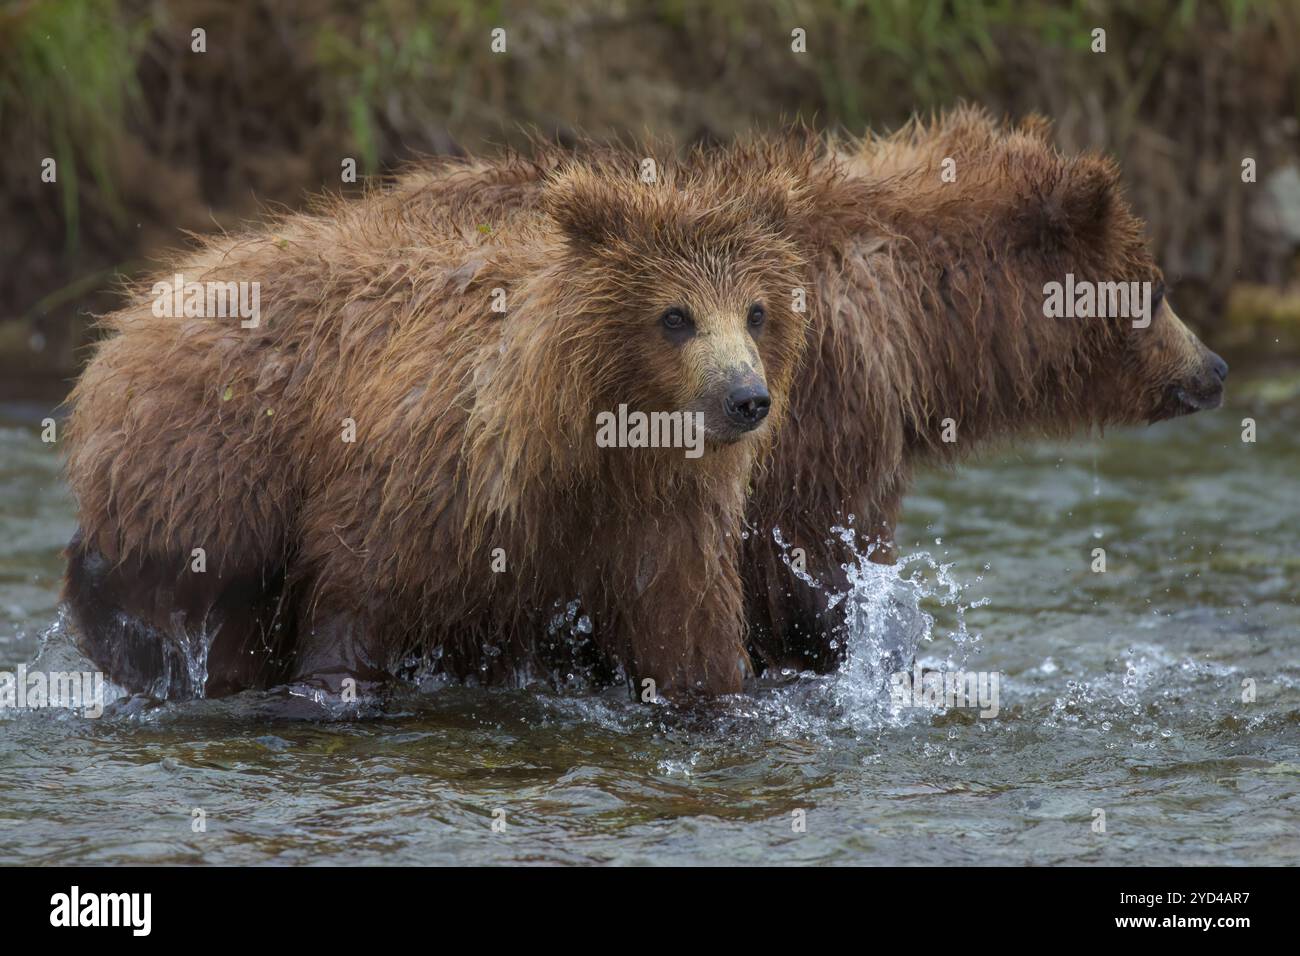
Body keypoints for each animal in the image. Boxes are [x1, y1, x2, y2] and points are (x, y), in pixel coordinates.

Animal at [62, 150, 819, 703]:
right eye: (675, 316)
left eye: (756, 311)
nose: (746, 397)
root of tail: (155, 292)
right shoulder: (428, 483)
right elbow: (358, 591)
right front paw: (332, 688)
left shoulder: (660, 517)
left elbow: (686, 632)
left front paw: (720, 696)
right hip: (217, 454)